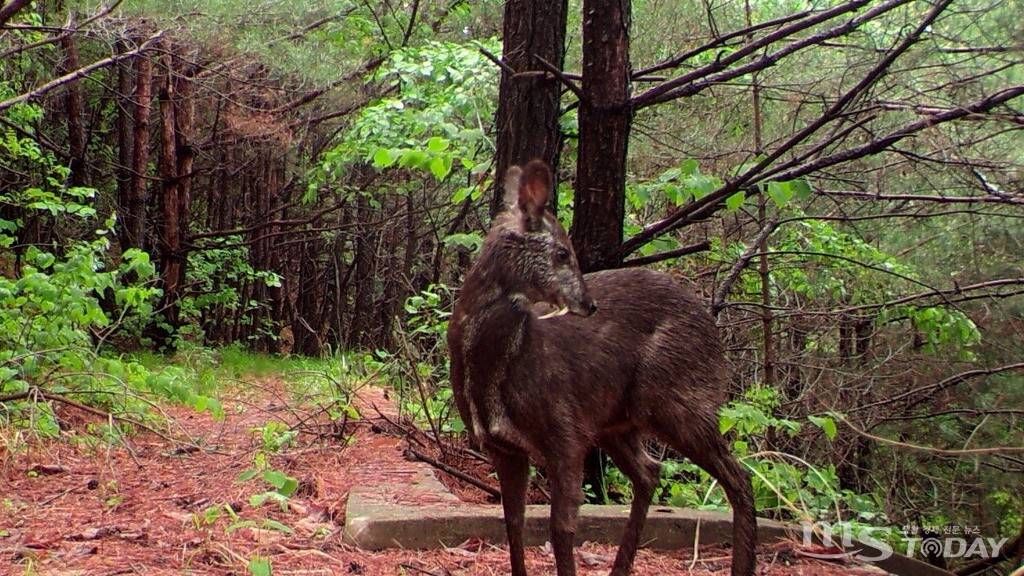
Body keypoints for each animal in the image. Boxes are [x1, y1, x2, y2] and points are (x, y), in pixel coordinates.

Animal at [450, 157, 761, 573]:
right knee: (650, 472)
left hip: (678, 401)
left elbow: (561, 528)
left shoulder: (564, 432)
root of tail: (715, 332)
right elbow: (512, 522)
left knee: (739, 476)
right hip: (616, 422)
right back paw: (619, 567)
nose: (588, 304)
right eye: (562, 253)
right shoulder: (504, 447)